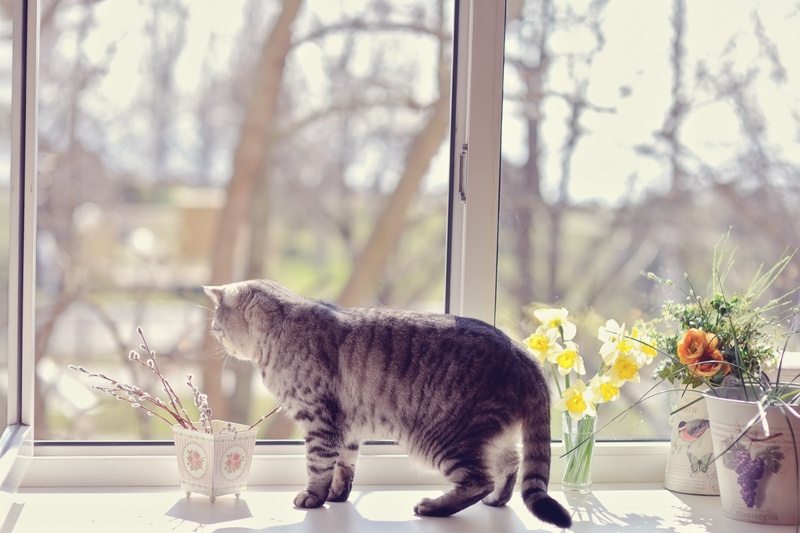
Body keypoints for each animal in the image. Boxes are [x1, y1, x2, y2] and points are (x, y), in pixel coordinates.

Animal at [203, 278, 572, 528]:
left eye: (218, 329)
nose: (216, 340)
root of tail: (524, 355)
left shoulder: (319, 418)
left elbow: (318, 464)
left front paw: (313, 498)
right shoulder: (347, 428)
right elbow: (344, 466)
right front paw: (337, 495)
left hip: (443, 439)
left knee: (479, 480)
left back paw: (433, 507)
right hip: (488, 437)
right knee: (509, 466)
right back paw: (495, 501)